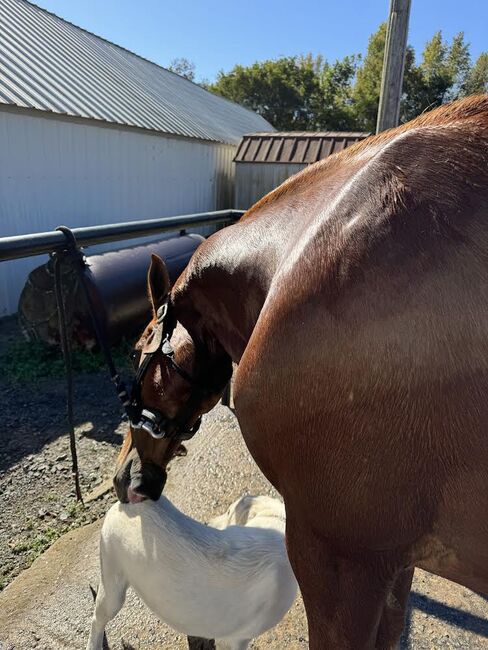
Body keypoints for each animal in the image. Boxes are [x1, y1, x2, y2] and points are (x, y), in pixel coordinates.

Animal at [86, 494, 296, 644]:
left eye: (228, 510)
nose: (208, 523)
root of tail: (126, 504)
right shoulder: (234, 640)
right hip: (113, 591)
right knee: (96, 620)